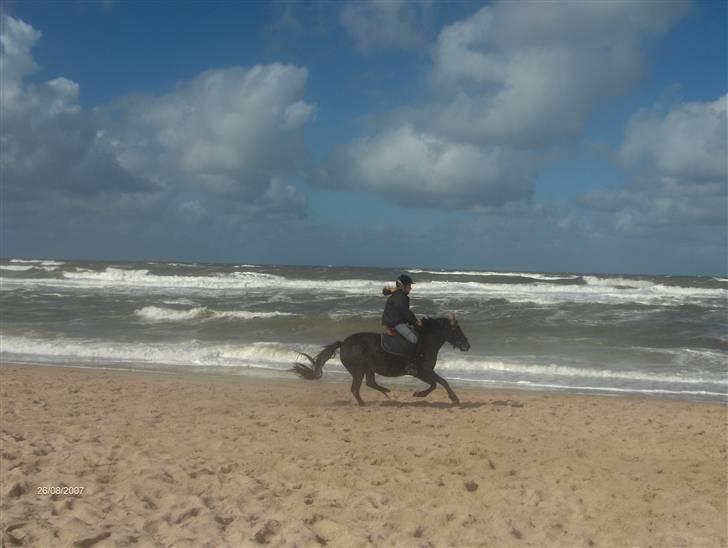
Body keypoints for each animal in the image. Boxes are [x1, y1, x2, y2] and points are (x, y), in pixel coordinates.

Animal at [290, 312, 472, 406]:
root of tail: (344, 343)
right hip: (358, 370)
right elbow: (439, 383)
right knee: (356, 388)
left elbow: (437, 383)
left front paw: (420, 394)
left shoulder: (424, 372)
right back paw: (368, 403)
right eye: (456, 330)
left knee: (370, 383)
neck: (426, 340)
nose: (467, 346)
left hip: (367, 369)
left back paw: (388, 394)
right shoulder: (422, 371)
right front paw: (453, 399)